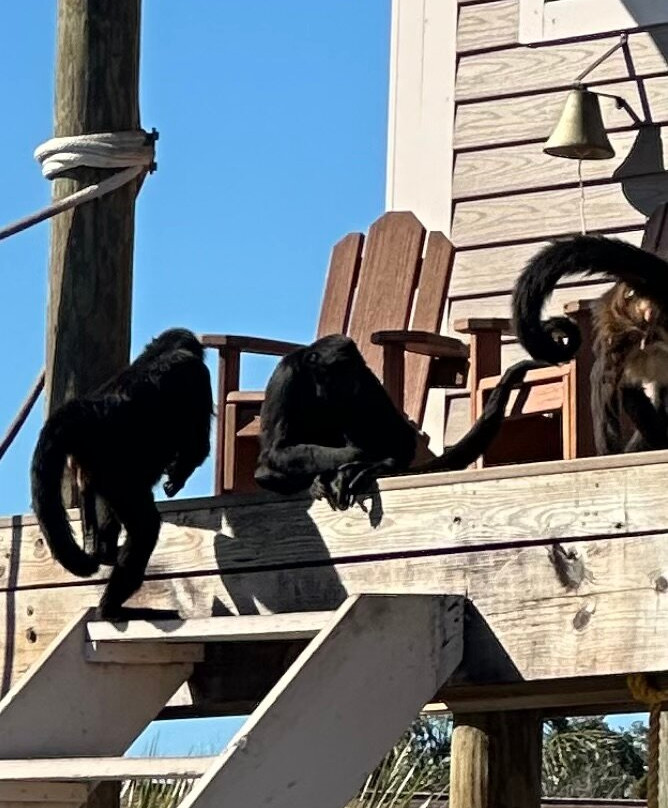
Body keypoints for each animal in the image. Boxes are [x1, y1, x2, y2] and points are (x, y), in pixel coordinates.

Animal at [31, 328, 213, 621]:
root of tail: (88, 413)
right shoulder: (196, 374)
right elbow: (196, 446)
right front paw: (177, 477)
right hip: (118, 473)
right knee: (145, 527)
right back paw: (111, 608)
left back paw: (105, 552)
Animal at [254, 333, 545, 509]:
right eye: (339, 372)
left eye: (350, 373)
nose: (348, 384)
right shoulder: (287, 374)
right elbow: (275, 451)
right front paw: (361, 459)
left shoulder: (364, 376)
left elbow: (402, 440)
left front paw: (371, 464)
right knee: (266, 473)